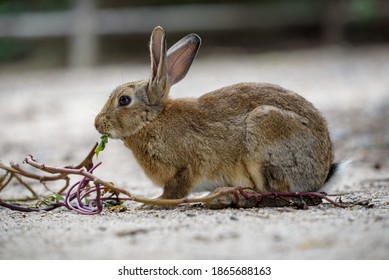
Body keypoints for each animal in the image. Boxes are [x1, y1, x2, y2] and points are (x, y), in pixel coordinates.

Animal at [94, 26, 340, 208]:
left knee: (275, 194)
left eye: (124, 100)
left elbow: (175, 190)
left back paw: (227, 198)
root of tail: (321, 174)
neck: (152, 121)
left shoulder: (186, 167)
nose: (97, 124)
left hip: (264, 136)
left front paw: (152, 203)